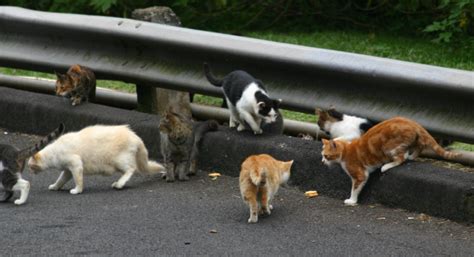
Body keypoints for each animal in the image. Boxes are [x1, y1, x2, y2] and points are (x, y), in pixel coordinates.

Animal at [28, 124, 165, 194]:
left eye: (30, 166)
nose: (31, 172)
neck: (54, 152)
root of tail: (136, 137)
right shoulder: (68, 170)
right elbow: (61, 179)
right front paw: (55, 186)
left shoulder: (76, 164)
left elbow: (78, 180)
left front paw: (77, 190)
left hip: (119, 160)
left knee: (131, 169)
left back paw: (119, 184)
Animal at [320, 115, 462, 204]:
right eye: (322, 155)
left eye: (326, 156)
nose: (322, 162)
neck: (346, 150)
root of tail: (412, 122)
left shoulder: (360, 174)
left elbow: (355, 188)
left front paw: (351, 200)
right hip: (412, 140)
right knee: (419, 146)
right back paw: (411, 156)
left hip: (390, 147)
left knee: (401, 158)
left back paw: (386, 166)